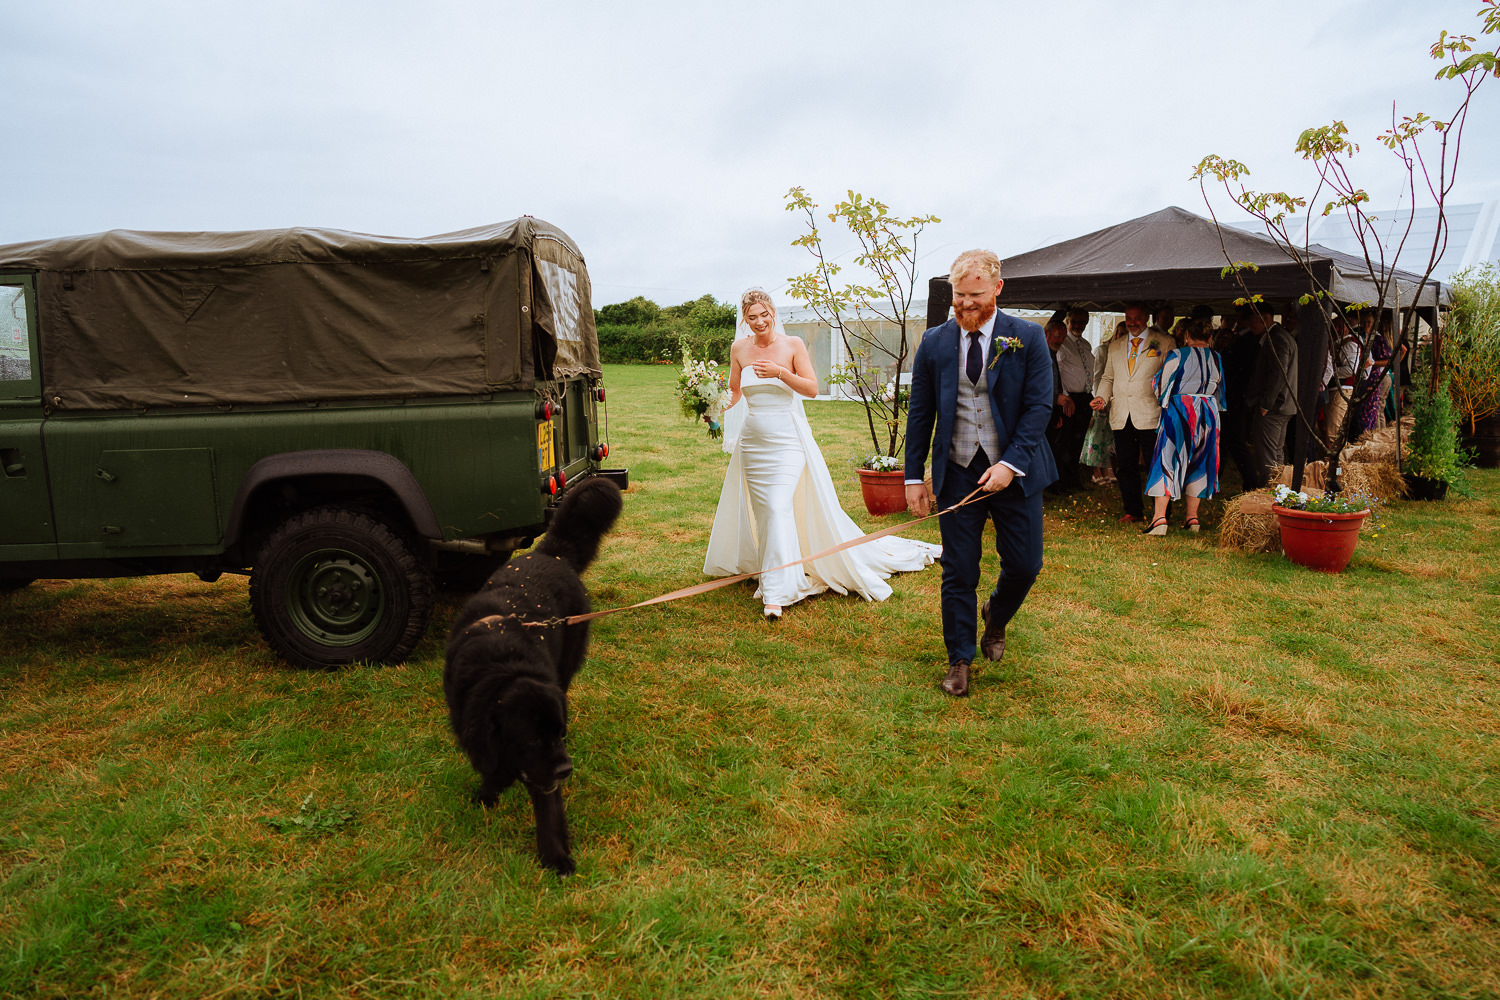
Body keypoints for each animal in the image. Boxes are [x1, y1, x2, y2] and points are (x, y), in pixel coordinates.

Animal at [438, 476, 621, 875]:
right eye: (533, 739)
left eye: (559, 734)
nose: (567, 769)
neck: (503, 667)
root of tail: (550, 554)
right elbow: (490, 766)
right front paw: (488, 793)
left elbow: (547, 810)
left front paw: (555, 857)